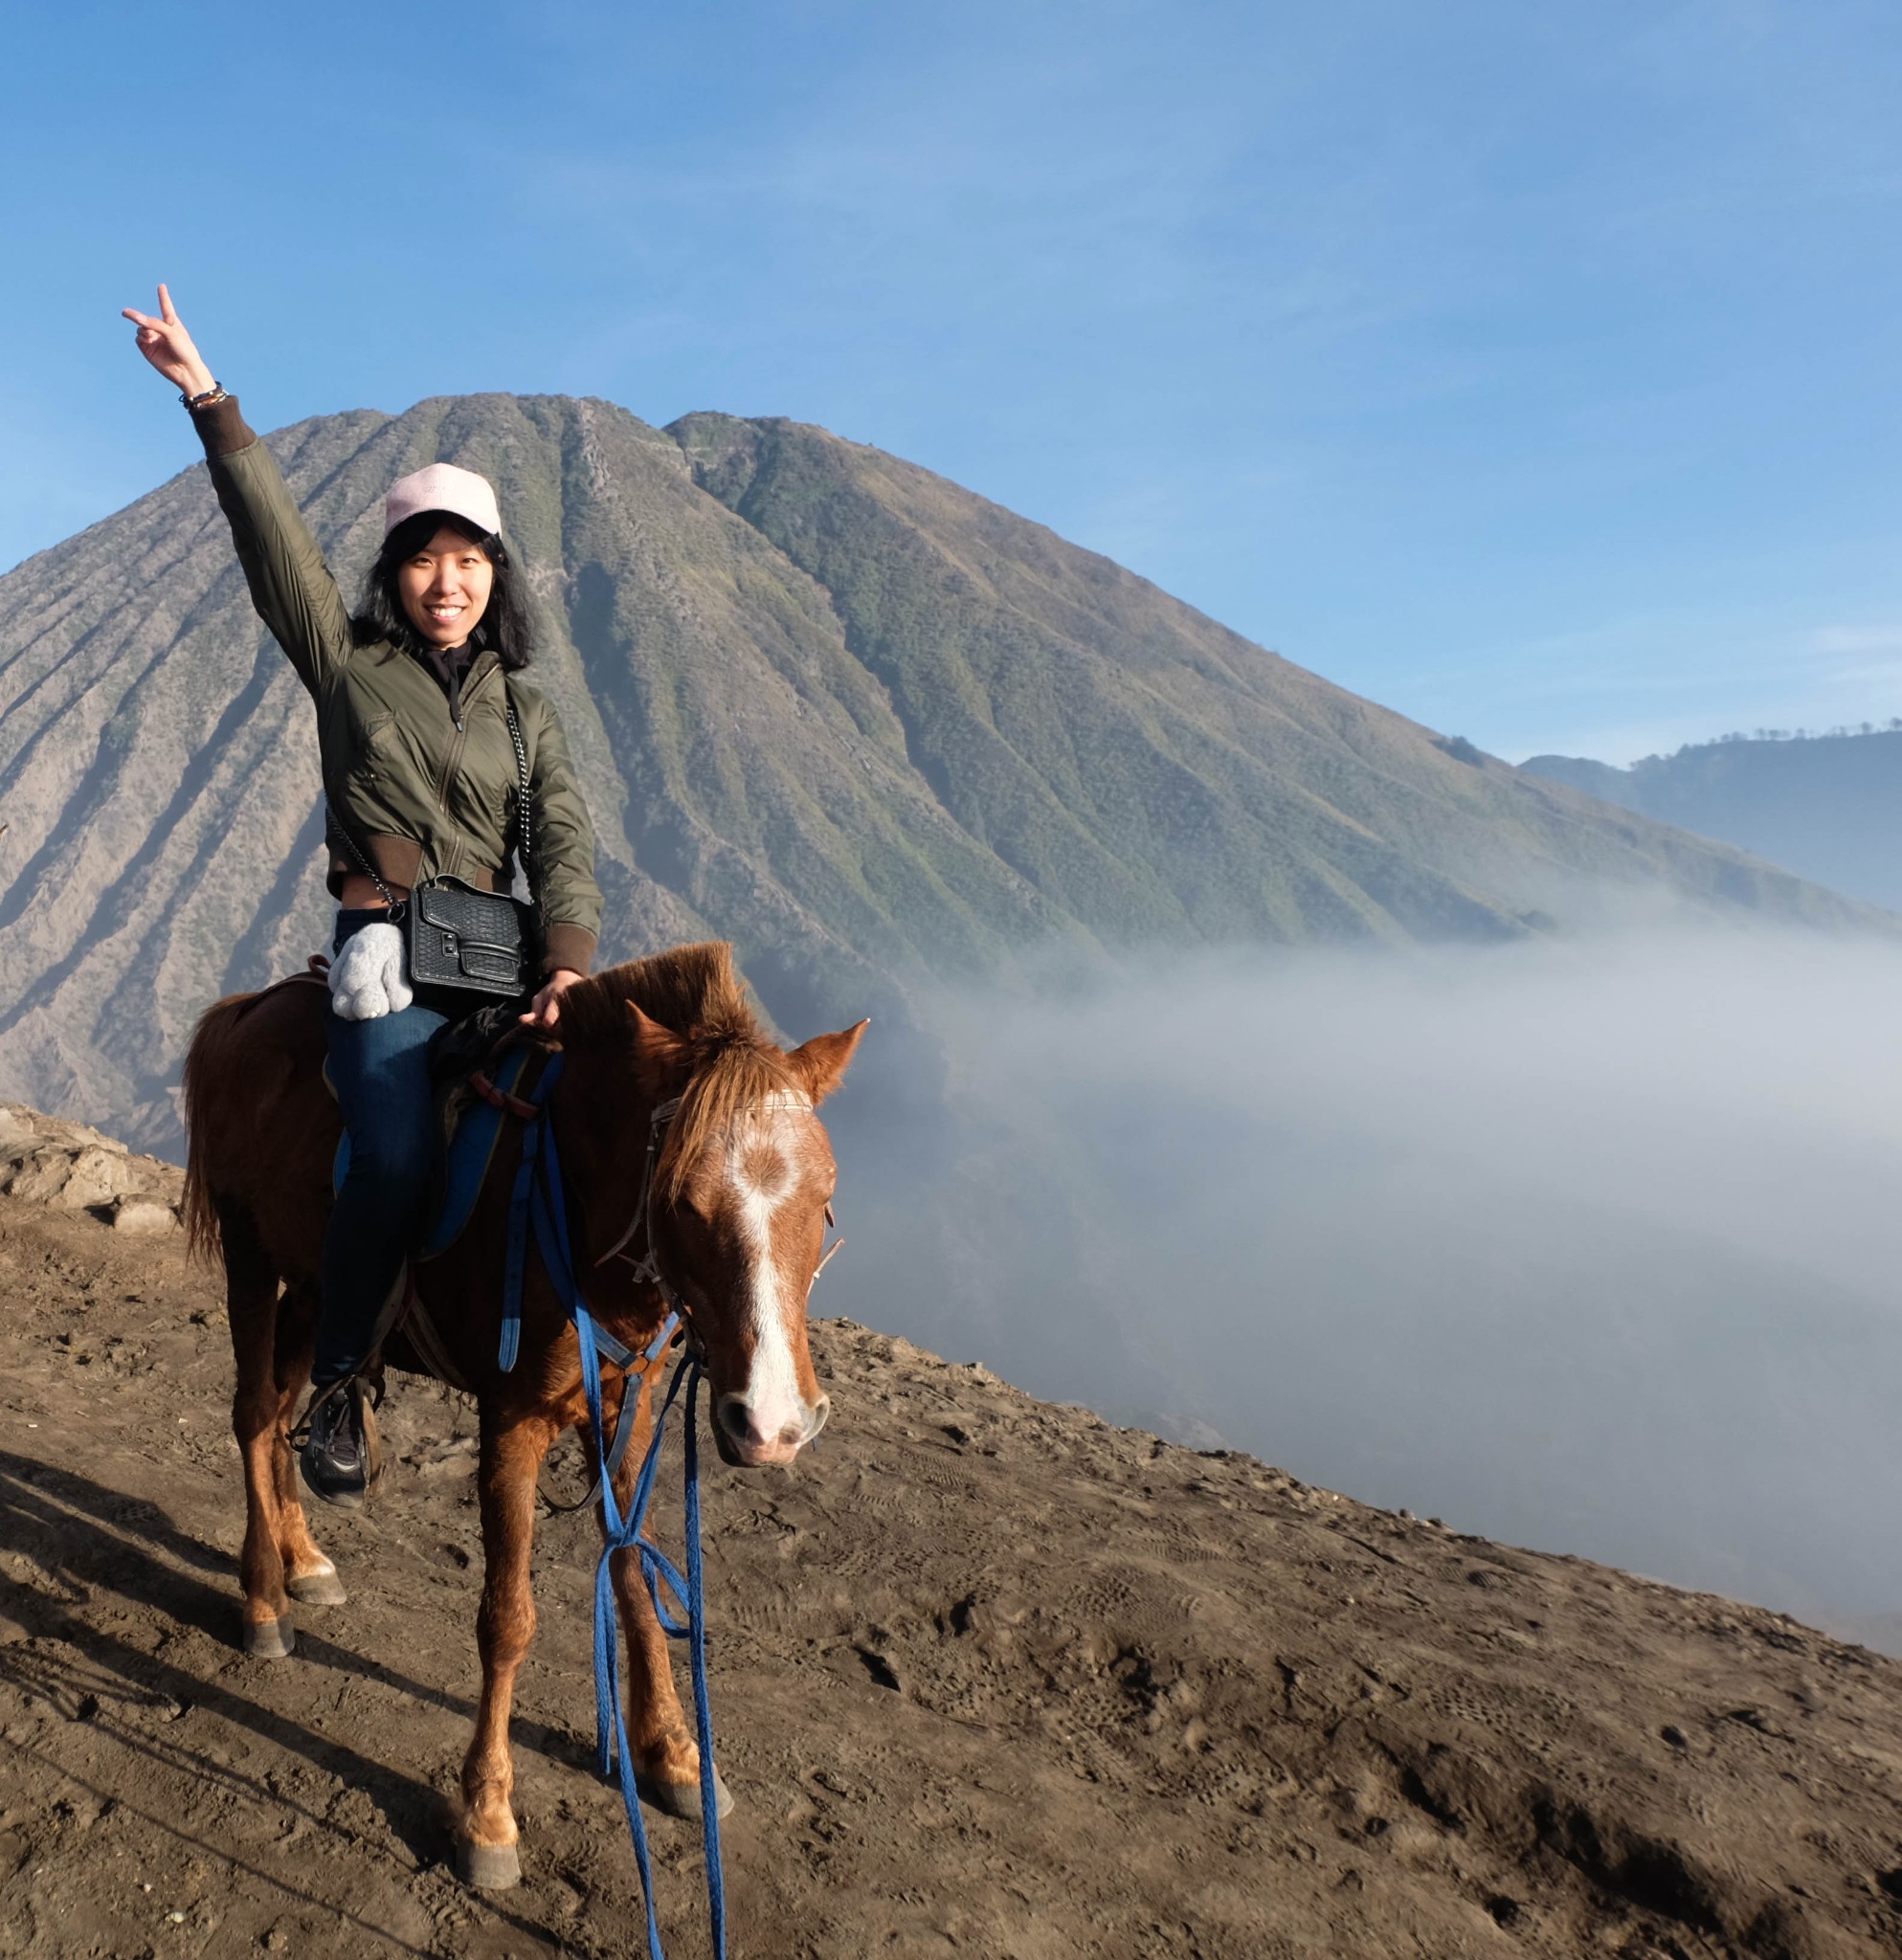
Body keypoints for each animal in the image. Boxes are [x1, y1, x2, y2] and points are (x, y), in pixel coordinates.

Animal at [178, 941, 859, 1889]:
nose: (772, 1422)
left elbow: (633, 1575)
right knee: (251, 1415)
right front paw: (487, 1812)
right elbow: (507, 1619)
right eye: (683, 1201)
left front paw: (675, 1755)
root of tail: (245, 1009)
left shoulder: (624, 1417)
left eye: (824, 1197)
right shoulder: (512, 1423)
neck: (569, 1195)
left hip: (317, 1289)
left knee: (282, 1413)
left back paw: (303, 1558)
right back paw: (264, 1600)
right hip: (251, 1256)